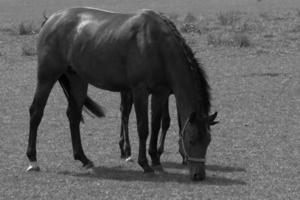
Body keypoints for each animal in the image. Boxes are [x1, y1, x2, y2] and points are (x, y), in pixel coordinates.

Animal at [26, 7, 218, 180]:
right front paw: (145, 164)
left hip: (77, 80)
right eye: (191, 140)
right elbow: (143, 127)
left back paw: (84, 159)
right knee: (36, 112)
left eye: (208, 140)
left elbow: (156, 126)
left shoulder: (161, 93)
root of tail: (51, 19)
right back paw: (33, 160)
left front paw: (156, 160)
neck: (156, 44)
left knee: (73, 116)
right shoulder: (140, 90)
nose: (199, 175)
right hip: (47, 77)